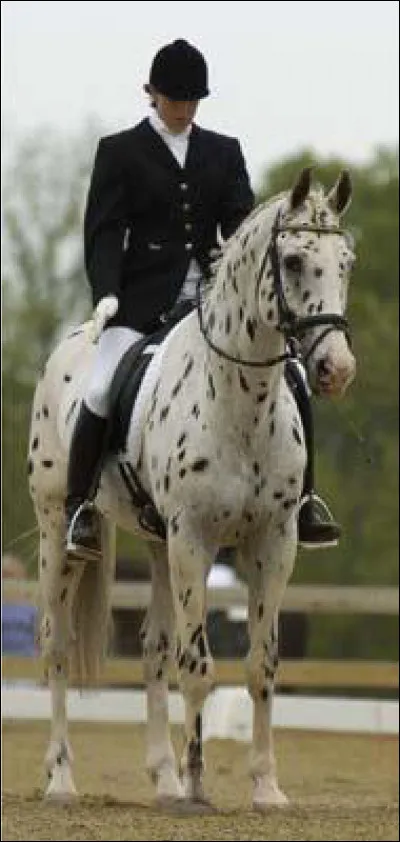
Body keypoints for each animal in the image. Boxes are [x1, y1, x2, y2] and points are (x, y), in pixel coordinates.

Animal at [28, 166, 356, 811]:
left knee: (154, 648)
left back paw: (163, 778)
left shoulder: (273, 542)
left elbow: (259, 665)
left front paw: (265, 788)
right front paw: (200, 783)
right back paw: (62, 780)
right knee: (56, 644)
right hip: (61, 530)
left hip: (158, 543)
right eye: (293, 260)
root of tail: (72, 342)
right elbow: (199, 665)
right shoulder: (194, 538)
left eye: (346, 262)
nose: (336, 369)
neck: (241, 402)